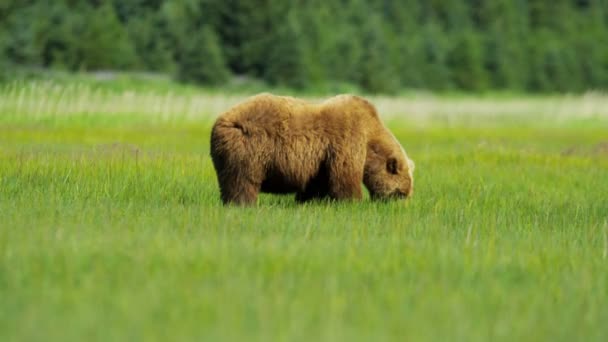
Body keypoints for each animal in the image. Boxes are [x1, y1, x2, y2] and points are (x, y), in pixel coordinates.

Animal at [209, 93, 414, 206]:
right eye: (401, 193)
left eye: (406, 193)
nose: (400, 207)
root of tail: (220, 121)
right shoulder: (347, 139)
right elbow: (345, 177)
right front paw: (353, 201)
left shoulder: (320, 159)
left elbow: (316, 183)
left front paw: (308, 200)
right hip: (249, 149)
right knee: (242, 181)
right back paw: (243, 204)